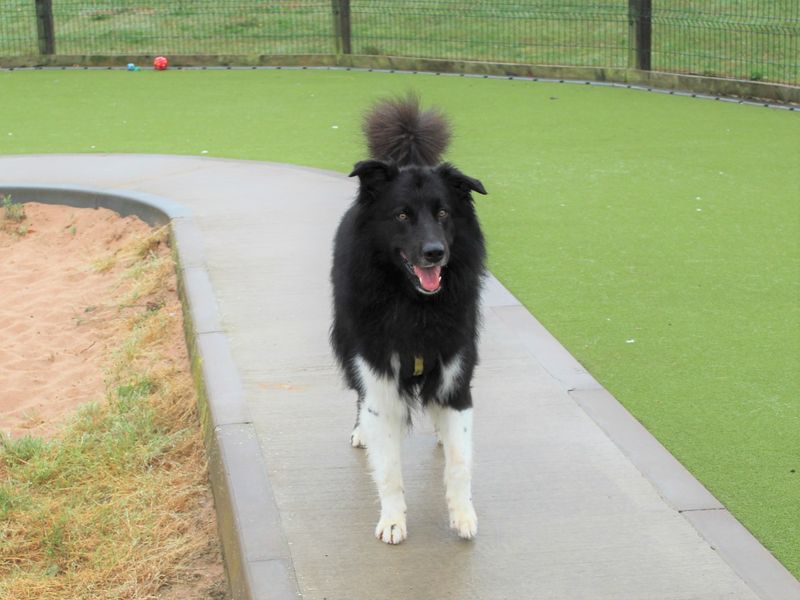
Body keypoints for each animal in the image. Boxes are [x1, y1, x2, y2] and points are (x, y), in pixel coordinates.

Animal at [328, 95, 484, 544]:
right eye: (401, 216)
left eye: (444, 213)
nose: (434, 253)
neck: (415, 305)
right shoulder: (378, 376)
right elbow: (390, 468)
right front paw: (393, 520)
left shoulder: (456, 377)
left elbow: (460, 462)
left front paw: (463, 515)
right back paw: (361, 431)